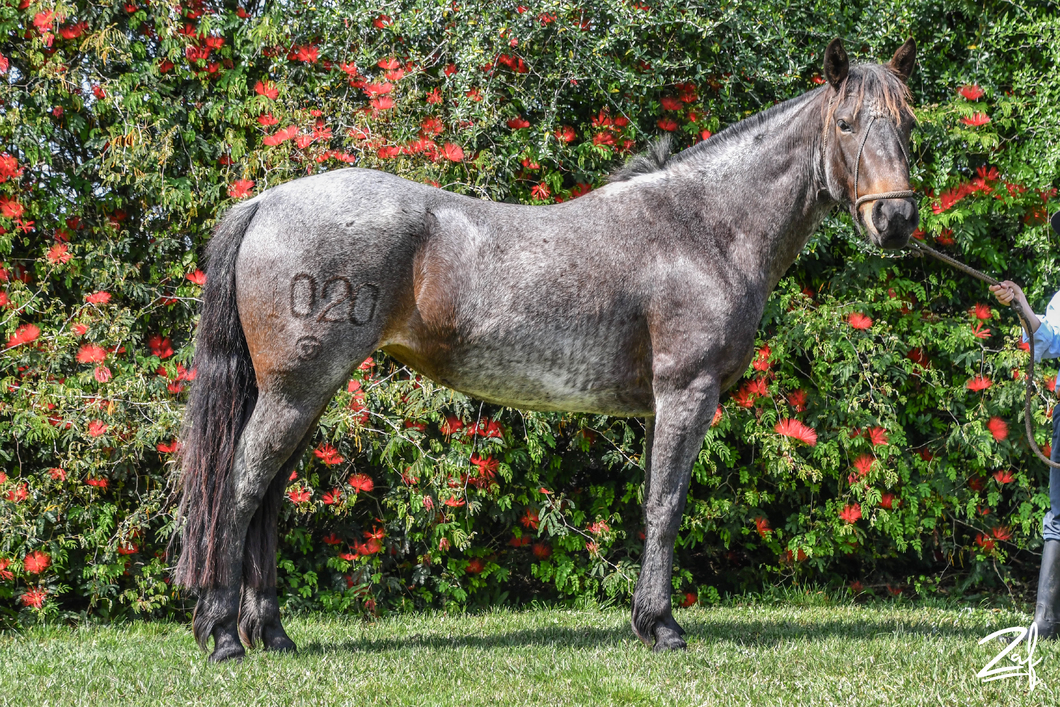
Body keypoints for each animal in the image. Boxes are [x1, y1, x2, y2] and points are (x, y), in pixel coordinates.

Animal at [173, 36, 920, 661]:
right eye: (847, 124)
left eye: (907, 124)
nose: (897, 218)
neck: (702, 228)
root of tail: (267, 202)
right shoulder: (687, 392)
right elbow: (665, 507)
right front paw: (661, 626)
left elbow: (654, 503)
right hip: (297, 389)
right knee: (239, 488)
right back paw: (223, 634)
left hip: (305, 393)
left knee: (267, 497)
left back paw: (271, 633)